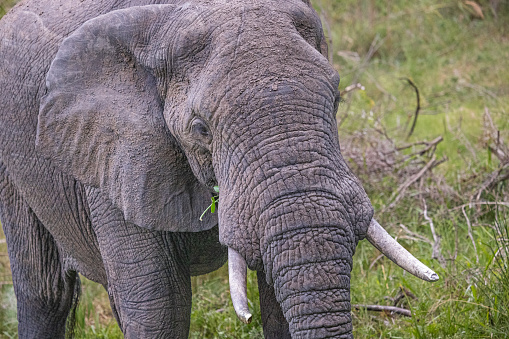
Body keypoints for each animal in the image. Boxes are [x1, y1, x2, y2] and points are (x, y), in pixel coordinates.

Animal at [0, 0, 436, 338]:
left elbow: (276, 306)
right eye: (201, 129)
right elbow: (161, 309)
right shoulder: (114, 157)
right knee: (45, 292)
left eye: (336, 101)